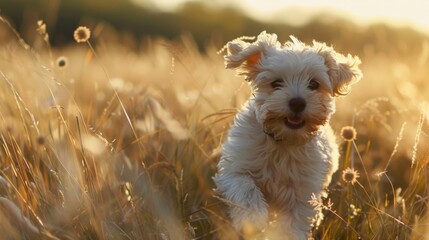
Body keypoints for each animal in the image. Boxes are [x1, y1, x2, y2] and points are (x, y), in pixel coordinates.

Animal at [213, 31, 362, 239]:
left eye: (314, 84)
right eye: (276, 83)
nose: (297, 103)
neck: (283, 140)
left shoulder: (303, 193)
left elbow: (292, 225)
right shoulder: (236, 168)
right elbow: (246, 189)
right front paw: (253, 220)